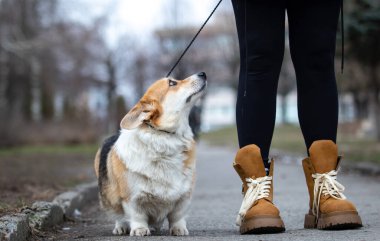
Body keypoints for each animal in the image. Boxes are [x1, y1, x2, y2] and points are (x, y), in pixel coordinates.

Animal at [94, 72, 208, 236]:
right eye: (172, 83)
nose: (202, 74)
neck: (165, 136)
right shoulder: (132, 198)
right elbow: (137, 215)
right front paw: (140, 229)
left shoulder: (184, 195)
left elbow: (177, 215)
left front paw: (179, 229)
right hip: (109, 198)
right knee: (118, 215)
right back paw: (121, 227)